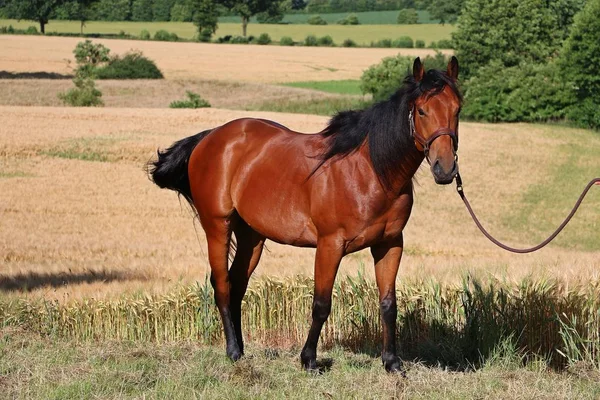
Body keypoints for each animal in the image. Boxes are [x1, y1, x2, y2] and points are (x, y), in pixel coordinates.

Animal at [151, 56, 464, 372]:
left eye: (457, 110)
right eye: (422, 110)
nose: (445, 168)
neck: (370, 172)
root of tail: (210, 137)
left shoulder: (390, 244)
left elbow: (388, 304)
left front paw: (391, 362)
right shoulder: (330, 245)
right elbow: (321, 304)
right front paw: (309, 359)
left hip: (252, 236)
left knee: (237, 283)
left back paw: (241, 347)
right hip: (218, 227)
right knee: (222, 285)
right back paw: (233, 351)